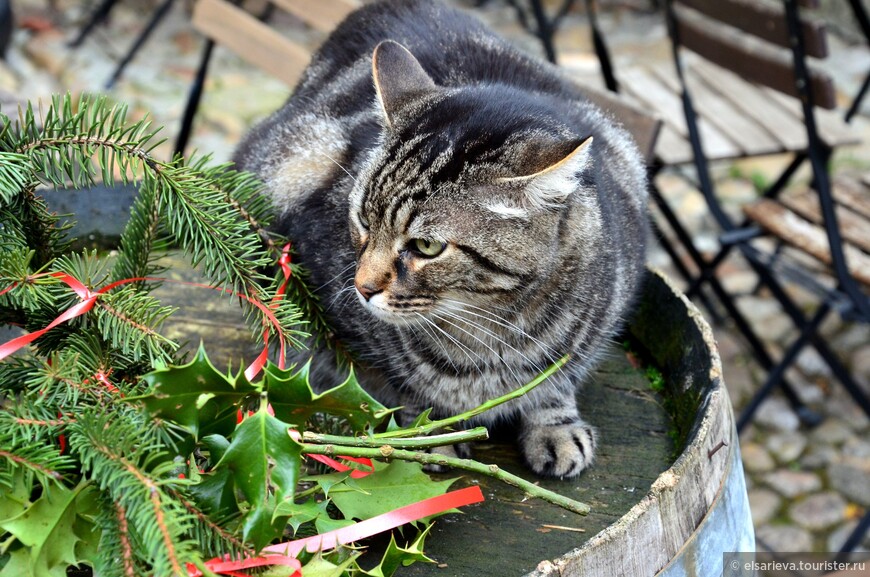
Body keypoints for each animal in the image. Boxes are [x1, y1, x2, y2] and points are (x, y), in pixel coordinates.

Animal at [235, 0, 652, 476]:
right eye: (362, 220)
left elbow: (557, 379)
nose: (361, 287)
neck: (489, 331)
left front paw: (555, 425)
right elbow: (399, 383)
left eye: (427, 247)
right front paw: (432, 432)